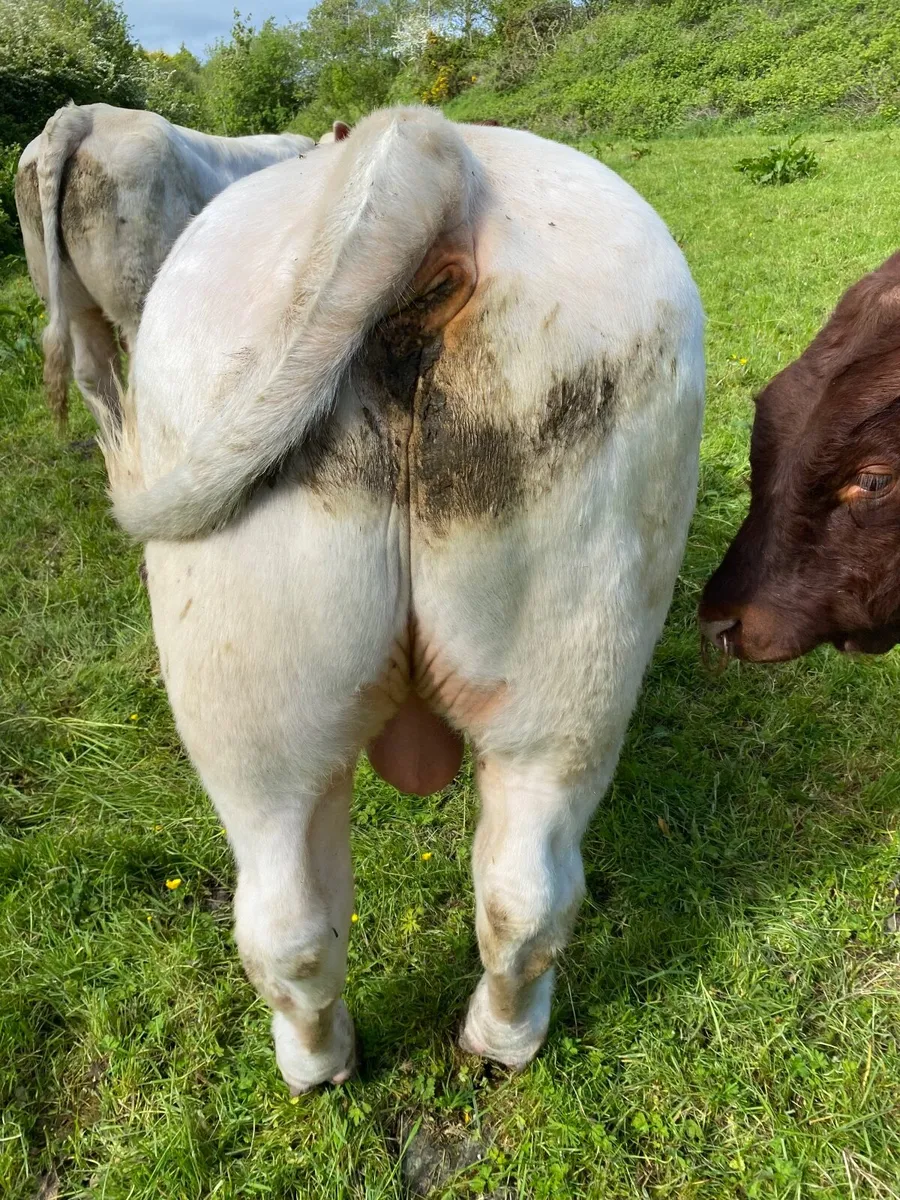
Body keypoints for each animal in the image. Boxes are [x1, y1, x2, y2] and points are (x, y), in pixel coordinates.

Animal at [101, 106, 704, 1091]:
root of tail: (429, 145)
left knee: (304, 913)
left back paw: (343, 1064)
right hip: (552, 677)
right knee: (502, 895)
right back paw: (476, 1047)